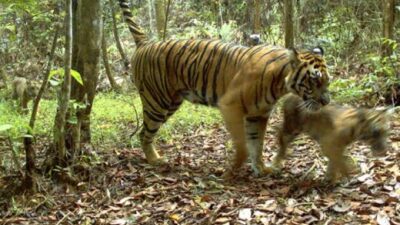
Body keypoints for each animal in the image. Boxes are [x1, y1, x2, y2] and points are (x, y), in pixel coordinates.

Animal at [118, 0, 332, 178]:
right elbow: (243, 144)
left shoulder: (258, 115)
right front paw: (233, 170)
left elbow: (257, 143)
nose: (326, 101)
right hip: (157, 103)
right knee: (144, 133)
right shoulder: (231, 106)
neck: (280, 83)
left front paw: (261, 168)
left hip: (171, 102)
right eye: (314, 81)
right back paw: (154, 160)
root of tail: (146, 43)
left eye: (328, 82)